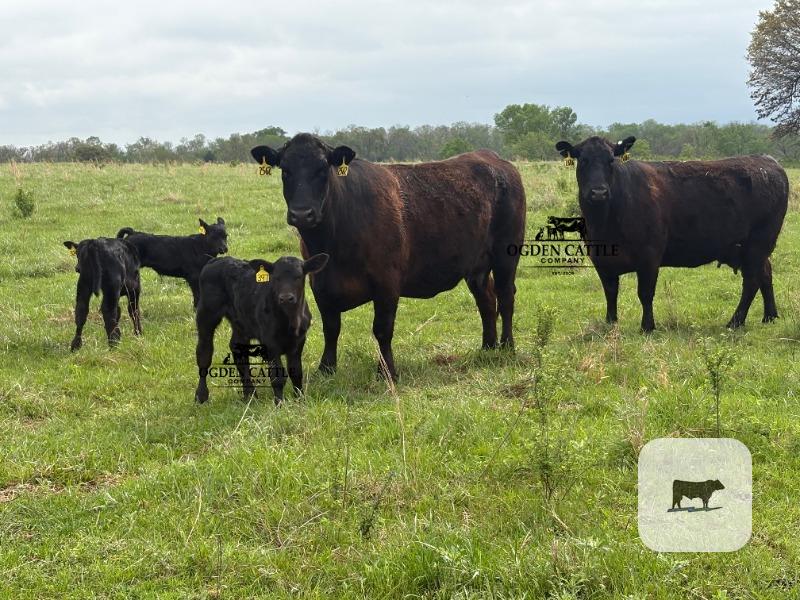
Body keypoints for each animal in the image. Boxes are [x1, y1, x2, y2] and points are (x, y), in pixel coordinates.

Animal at [194, 253, 329, 405]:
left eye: (298, 276)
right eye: (276, 277)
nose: (286, 298)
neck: (290, 319)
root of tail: (215, 260)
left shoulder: (299, 340)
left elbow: (296, 372)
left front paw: (300, 400)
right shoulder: (270, 343)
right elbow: (277, 377)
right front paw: (279, 404)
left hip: (241, 322)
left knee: (237, 350)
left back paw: (250, 395)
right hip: (206, 313)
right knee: (204, 352)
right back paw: (201, 396)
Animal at [250, 133, 526, 380]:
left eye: (322, 169)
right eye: (285, 170)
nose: (301, 213)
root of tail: (492, 158)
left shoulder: (387, 283)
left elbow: (382, 330)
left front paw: (387, 372)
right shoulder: (319, 283)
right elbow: (331, 328)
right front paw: (326, 369)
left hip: (506, 254)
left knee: (505, 296)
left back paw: (507, 346)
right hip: (476, 266)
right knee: (486, 300)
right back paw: (487, 347)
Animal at [555, 136, 789, 331]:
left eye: (611, 161)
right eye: (583, 161)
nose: (599, 192)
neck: (606, 222)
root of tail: (768, 162)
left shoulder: (650, 255)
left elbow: (645, 293)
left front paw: (647, 327)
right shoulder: (601, 259)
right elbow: (610, 293)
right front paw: (610, 323)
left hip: (758, 243)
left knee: (751, 281)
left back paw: (735, 322)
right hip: (748, 249)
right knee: (765, 273)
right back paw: (770, 316)